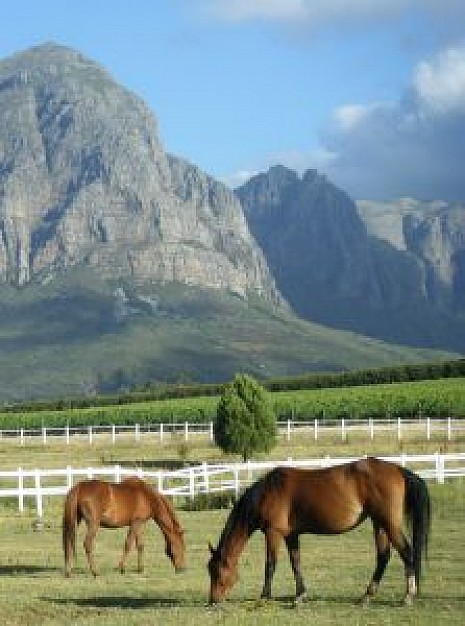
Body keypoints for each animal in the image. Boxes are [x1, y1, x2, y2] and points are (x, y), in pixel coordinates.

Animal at [208, 458, 430, 604]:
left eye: (217, 572)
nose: (213, 600)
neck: (268, 492)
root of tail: (399, 470)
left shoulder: (273, 533)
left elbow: (270, 565)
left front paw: (264, 596)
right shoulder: (291, 536)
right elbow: (296, 563)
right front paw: (300, 595)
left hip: (389, 524)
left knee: (407, 553)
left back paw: (408, 596)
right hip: (379, 523)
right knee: (383, 557)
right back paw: (366, 596)